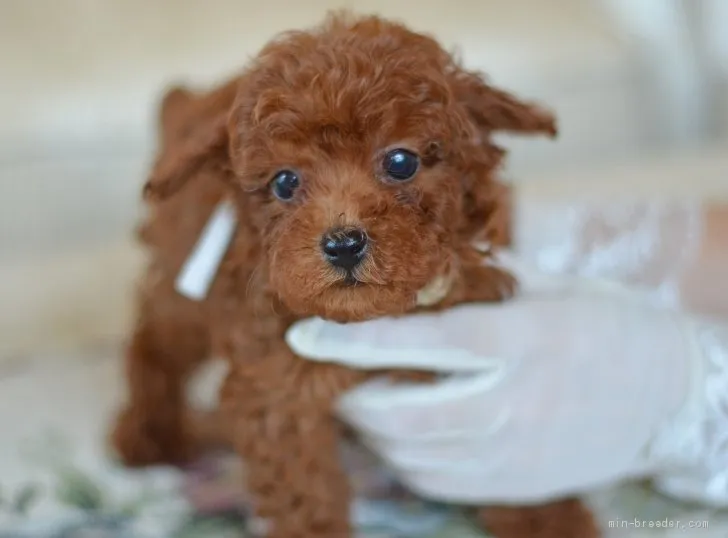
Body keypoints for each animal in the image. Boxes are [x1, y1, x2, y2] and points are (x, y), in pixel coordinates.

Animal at [112, 11, 596, 536]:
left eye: (401, 162)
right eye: (285, 182)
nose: (343, 244)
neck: (374, 316)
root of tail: (190, 103)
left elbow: (501, 461)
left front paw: (546, 518)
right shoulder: (278, 393)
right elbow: (305, 496)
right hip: (181, 292)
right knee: (154, 343)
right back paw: (149, 434)